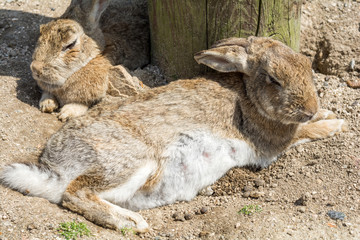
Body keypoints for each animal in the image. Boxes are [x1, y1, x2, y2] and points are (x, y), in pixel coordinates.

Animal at [1, 36, 348, 232]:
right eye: (274, 79)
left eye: (307, 64)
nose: (309, 107)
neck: (248, 95)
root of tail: (53, 168)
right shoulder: (272, 142)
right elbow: (303, 132)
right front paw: (335, 123)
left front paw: (327, 114)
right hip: (133, 160)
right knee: (75, 194)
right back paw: (133, 224)